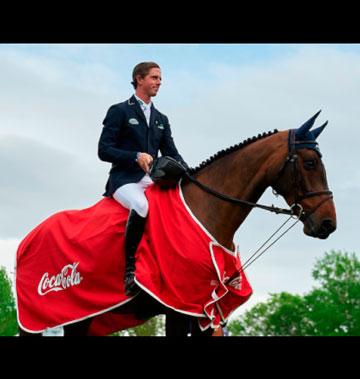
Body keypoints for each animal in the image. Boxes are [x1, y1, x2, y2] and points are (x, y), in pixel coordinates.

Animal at [19, 111, 334, 336]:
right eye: (309, 163)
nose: (328, 223)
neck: (207, 210)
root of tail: (27, 241)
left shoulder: (203, 312)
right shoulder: (179, 308)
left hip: (81, 319)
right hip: (39, 322)